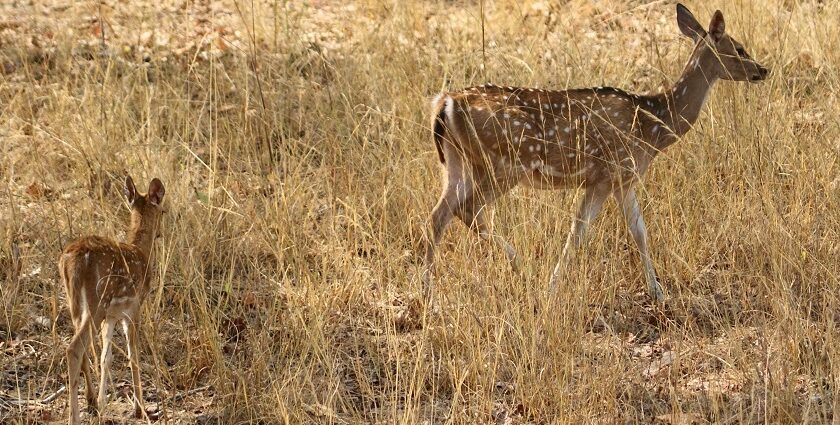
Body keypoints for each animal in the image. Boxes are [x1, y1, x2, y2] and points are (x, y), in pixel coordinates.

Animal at [60, 174, 166, 422]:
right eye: (163, 211)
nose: (160, 233)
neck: (141, 251)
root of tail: (73, 260)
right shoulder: (133, 307)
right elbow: (133, 354)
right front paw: (140, 409)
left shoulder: (111, 316)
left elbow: (105, 357)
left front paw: (102, 402)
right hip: (98, 300)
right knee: (74, 349)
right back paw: (74, 417)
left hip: (76, 304)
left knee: (84, 348)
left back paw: (90, 402)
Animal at [424, 4, 772, 302]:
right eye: (739, 48)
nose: (763, 69)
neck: (652, 124)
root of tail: (445, 104)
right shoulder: (610, 174)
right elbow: (581, 232)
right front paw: (552, 287)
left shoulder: (619, 180)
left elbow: (637, 231)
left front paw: (657, 292)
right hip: (503, 163)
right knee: (468, 210)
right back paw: (520, 265)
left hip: (456, 162)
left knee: (439, 215)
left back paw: (428, 291)